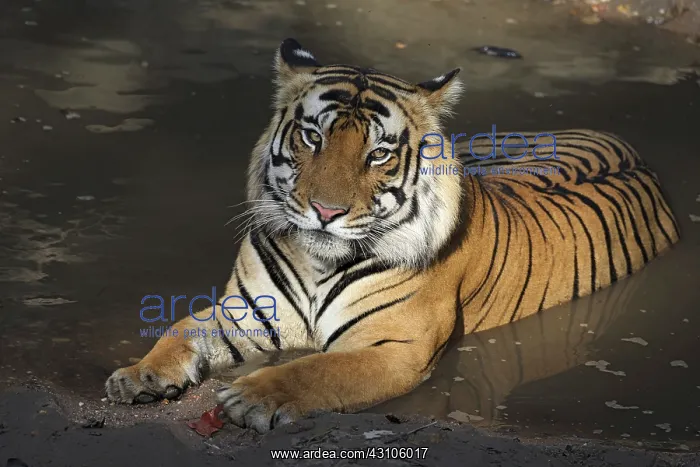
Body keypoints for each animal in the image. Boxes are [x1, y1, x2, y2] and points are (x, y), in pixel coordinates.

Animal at [105, 38, 680, 433]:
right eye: (312, 137)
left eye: (378, 153)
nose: (326, 211)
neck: (319, 263)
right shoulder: (248, 313)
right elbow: (181, 327)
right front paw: (137, 375)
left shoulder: (395, 345)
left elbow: (319, 370)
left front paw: (252, 399)